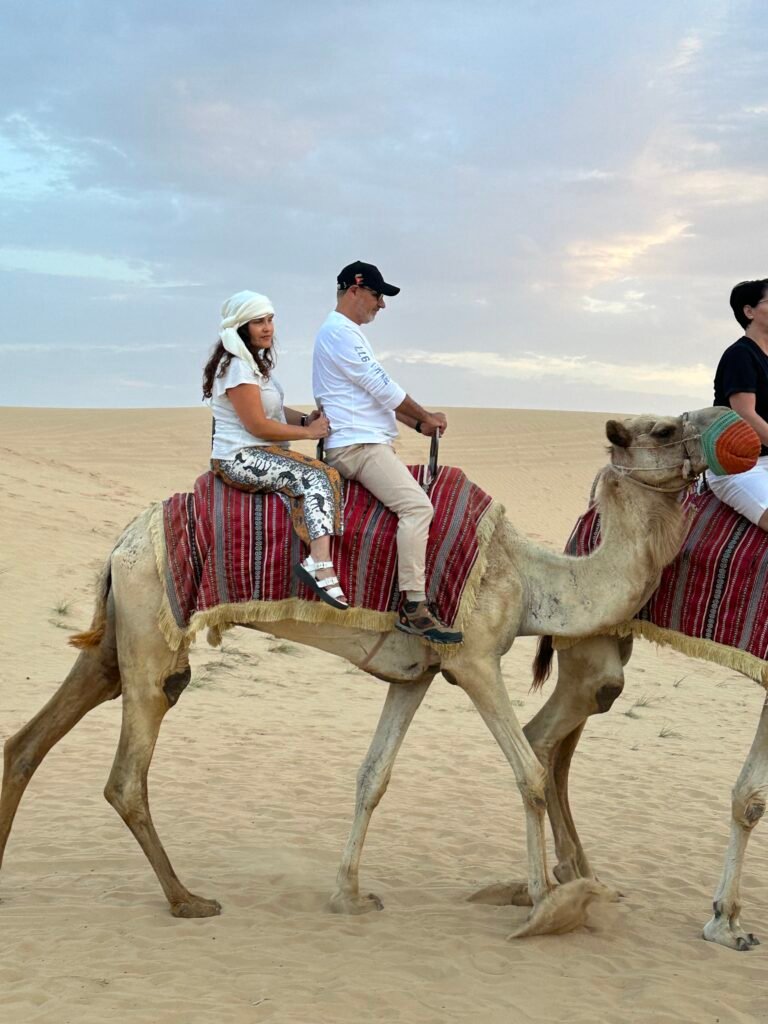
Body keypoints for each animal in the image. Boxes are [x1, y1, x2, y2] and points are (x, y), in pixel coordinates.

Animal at [0, 407, 739, 939]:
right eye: (665, 428)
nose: (732, 431)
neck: (531, 582)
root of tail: (123, 539)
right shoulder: (474, 658)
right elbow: (529, 774)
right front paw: (544, 905)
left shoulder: (415, 675)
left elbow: (372, 778)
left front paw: (348, 896)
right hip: (153, 636)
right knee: (126, 777)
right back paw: (187, 900)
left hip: (120, 636)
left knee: (31, 739)